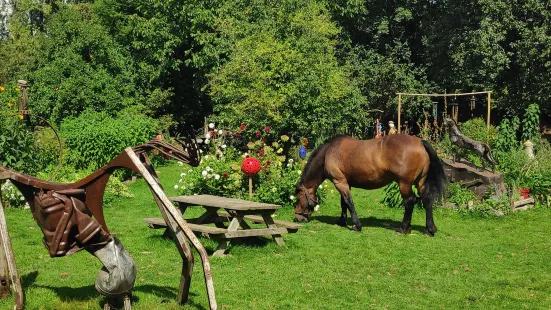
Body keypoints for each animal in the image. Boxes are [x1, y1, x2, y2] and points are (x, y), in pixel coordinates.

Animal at [294, 135, 448, 235]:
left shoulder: (339, 181)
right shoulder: (345, 182)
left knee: (410, 201)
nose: (297, 218)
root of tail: (420, 142)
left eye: (298, 198)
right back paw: (429, 229)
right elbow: (343, 203)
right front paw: (342, 221)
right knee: (427, 199)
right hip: (420, 182)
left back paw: (404, 228)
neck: (329, 153)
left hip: (404, 183)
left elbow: (348, 202)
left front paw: (356, 225)